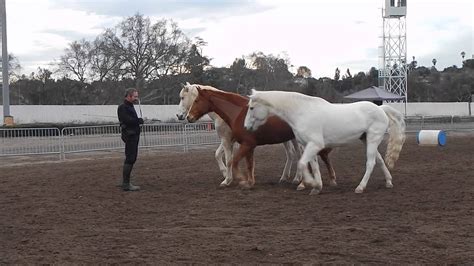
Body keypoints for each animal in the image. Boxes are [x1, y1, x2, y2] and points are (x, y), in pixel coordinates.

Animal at [184, 86, 334, 188]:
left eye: (196, 100)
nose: (187, 117)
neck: (238, 113)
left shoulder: (239, 143)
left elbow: (232, 161)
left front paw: (232, 179)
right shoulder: (247, 145)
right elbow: (249, 163)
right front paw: (249, 182)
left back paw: (302, 182)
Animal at [243, 89, 406, 193]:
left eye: (251, 108)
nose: (246, 127)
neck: (302, 112)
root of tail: (381, 109)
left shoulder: (315, 145)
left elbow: (302, 163)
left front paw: (308, 183)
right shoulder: (308, 146)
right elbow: (313, 165)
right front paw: (317, 187)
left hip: (372, 140)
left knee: (371, 163)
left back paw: (360, 187)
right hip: (366, 140)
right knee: (380, 160)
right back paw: (388, 182)